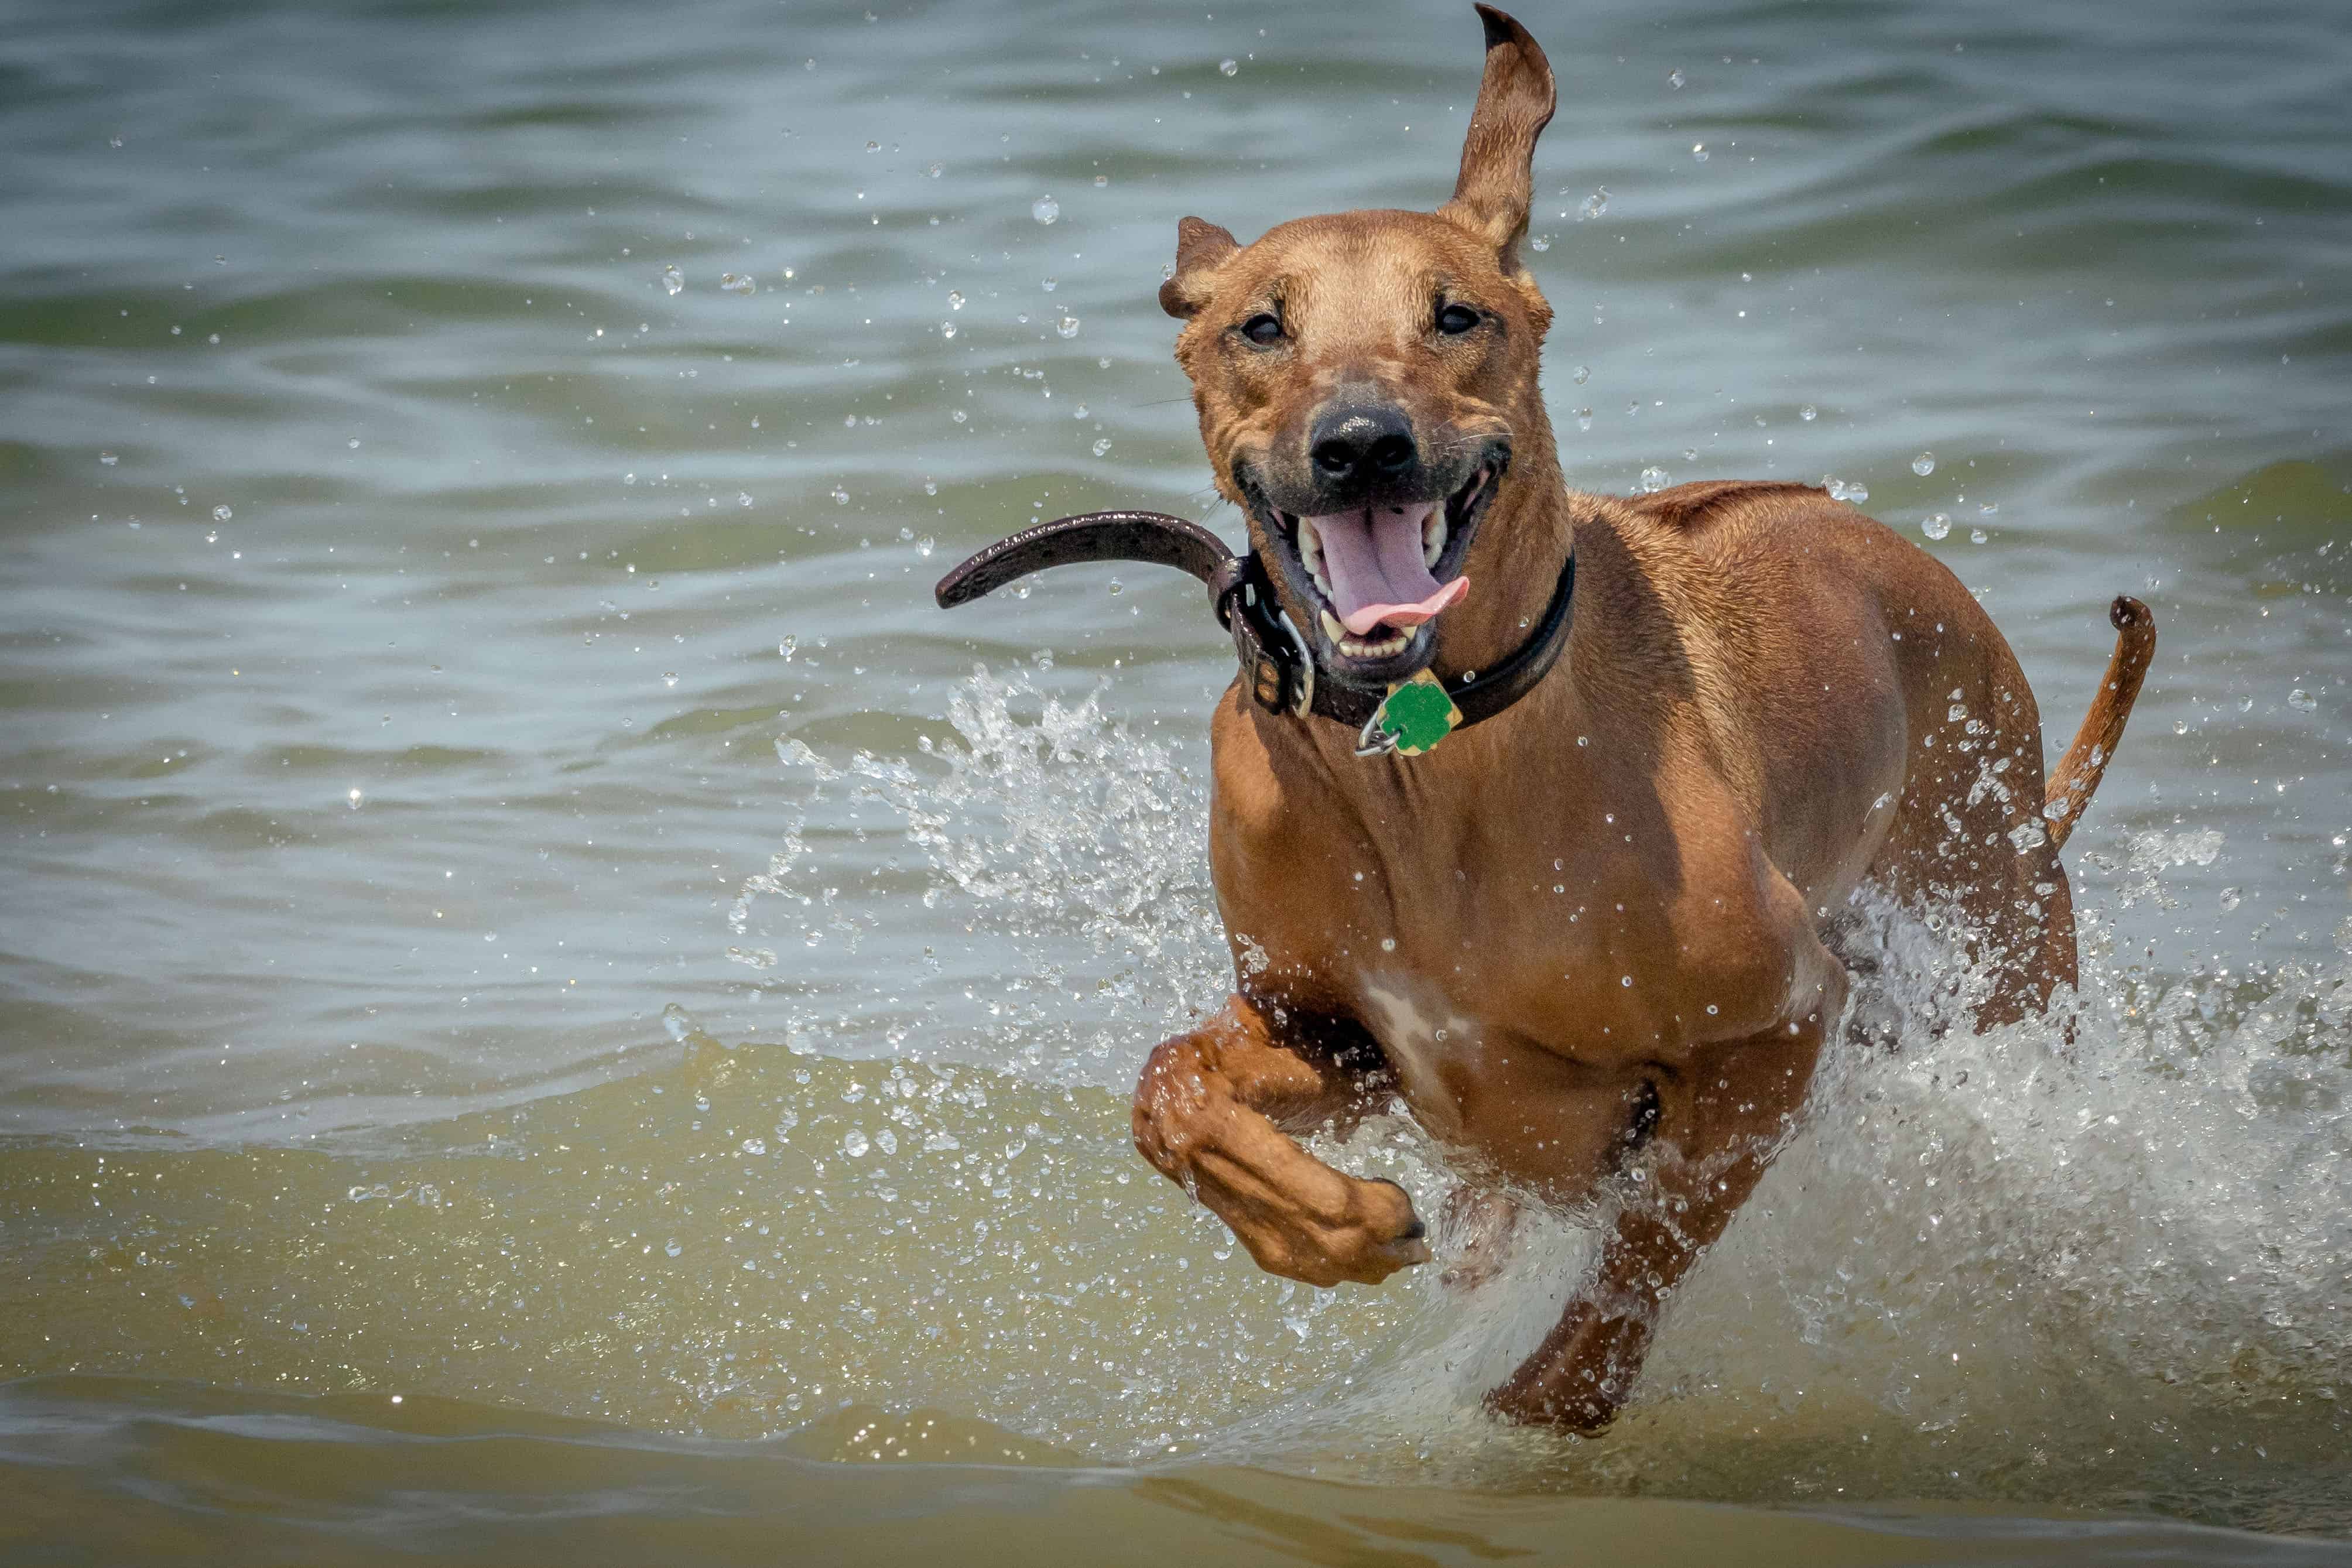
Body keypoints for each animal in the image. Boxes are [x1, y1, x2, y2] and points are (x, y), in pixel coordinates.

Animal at [1124, 6, 2163, 1429]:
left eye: (1456, 315)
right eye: (1260, 326)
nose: (1361, 442)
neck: (1423, 753)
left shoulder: (1781, 1022)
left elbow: (1649, 1243)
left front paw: (1542, 1403)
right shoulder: (1329, 1028)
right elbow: (1167, 1089)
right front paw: (1327, 1224)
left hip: (1999, 953)